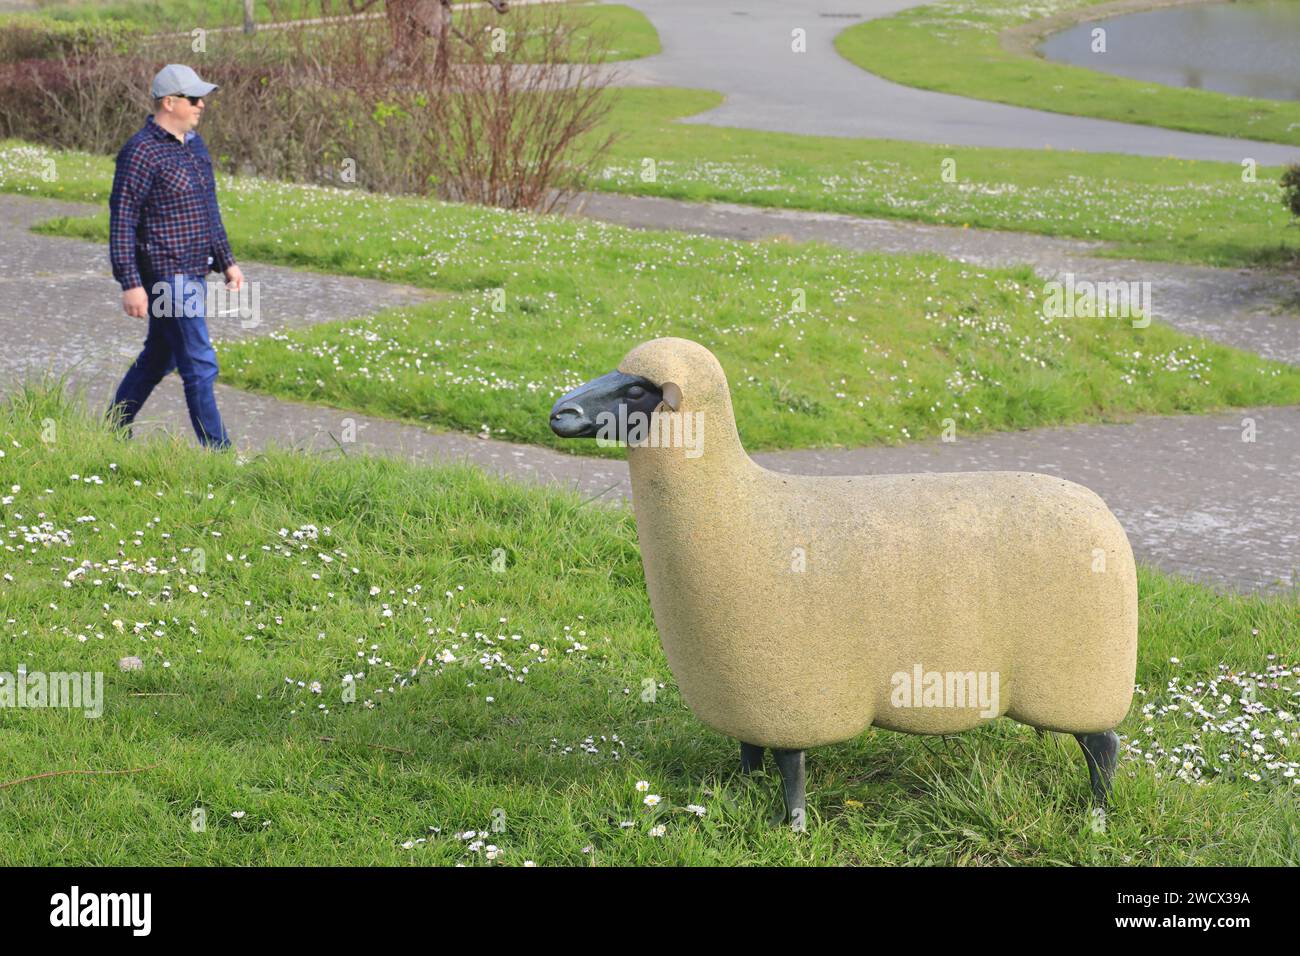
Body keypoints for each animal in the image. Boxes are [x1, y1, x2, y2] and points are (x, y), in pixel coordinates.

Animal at [549, 337, 1138, 827]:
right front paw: (741, 791)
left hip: (1085, 680)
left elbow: (792, 770)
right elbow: (749, 752)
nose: (559, 413)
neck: (735, 501)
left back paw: (1096, 818)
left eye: (636, 389)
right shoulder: (746, 700)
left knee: (1104, 747)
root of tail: (1103, 510)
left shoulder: (793, 697)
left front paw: (793, 828)